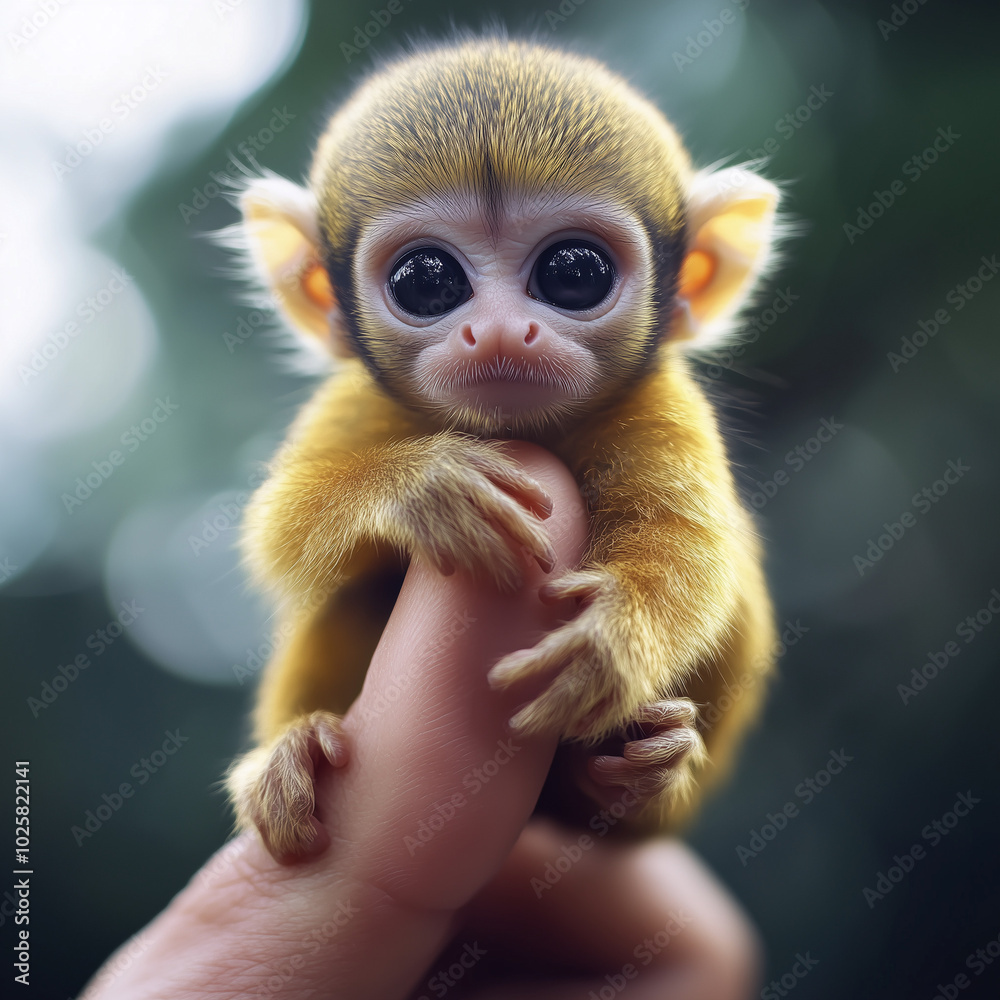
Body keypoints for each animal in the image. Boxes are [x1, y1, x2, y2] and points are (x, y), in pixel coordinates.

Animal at [222, 35, 781, 863]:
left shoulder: (658, 402)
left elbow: (696, 547)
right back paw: (291, 752)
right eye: (426, 281)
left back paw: (636, 780)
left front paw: (613, 640)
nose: (497, 333)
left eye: (574, 272)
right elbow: (278, 527)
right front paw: (423, 489)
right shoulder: (360, 398)